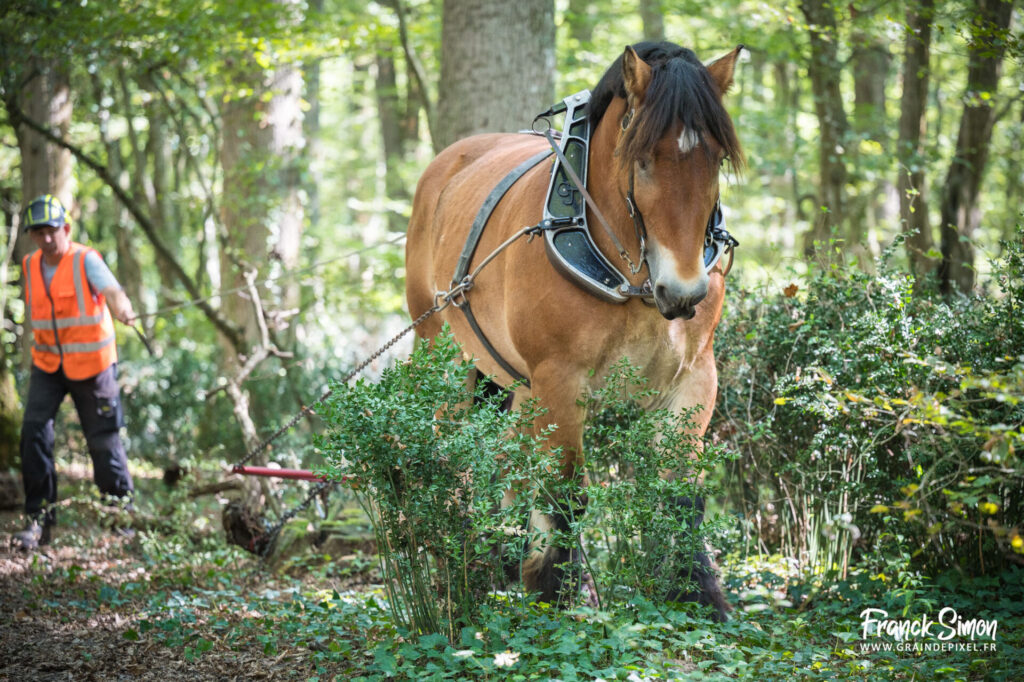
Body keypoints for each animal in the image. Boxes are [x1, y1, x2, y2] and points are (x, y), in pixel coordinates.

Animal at [404, 41, 744, 621]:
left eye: (716, 159)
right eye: (641, 158)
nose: (685, 293)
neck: (634, 279)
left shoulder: (694, 379)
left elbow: (679, 493)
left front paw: (696, 593)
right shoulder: (560, 381)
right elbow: (566, 492)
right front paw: (558, 592)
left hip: (519, 386)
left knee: (508, 459)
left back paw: (503, 558)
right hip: (447, 361)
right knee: (455, 458)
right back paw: (458, 565)